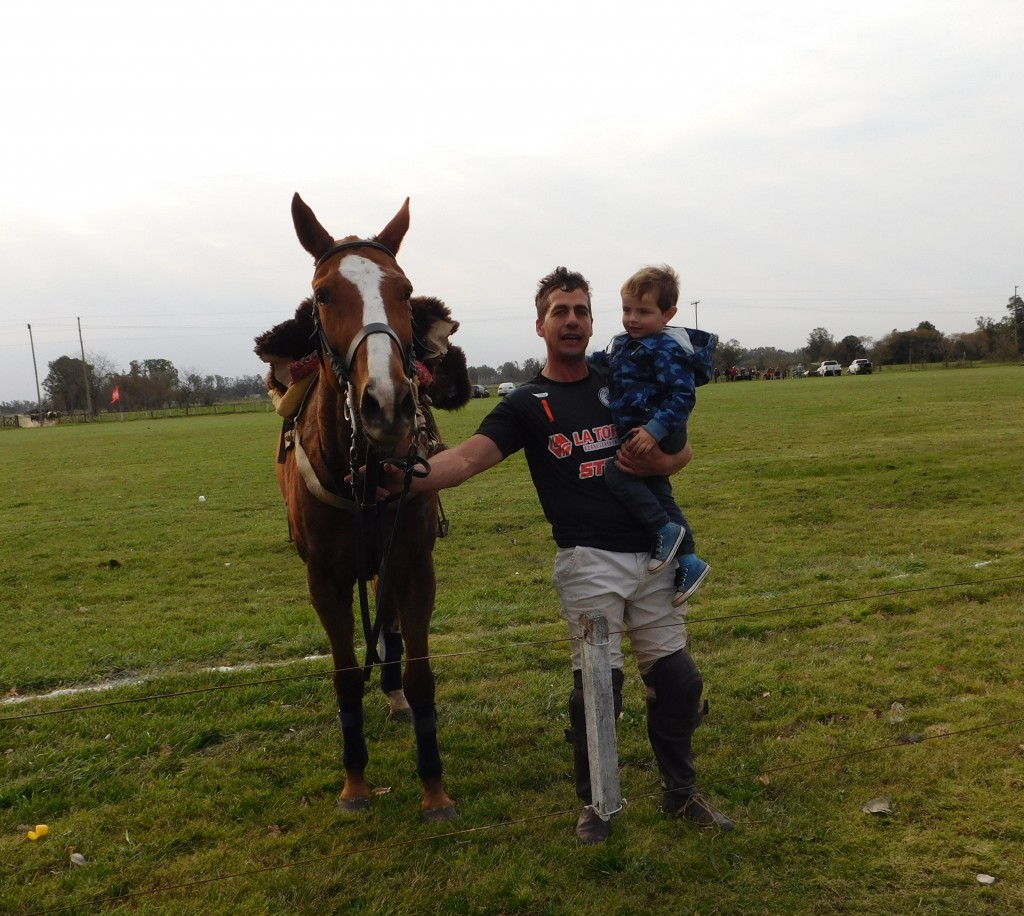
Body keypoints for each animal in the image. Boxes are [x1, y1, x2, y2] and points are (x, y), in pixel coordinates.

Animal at [253, 195, 468, 822]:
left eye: (405, 289)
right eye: (324, 295)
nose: (387, 405)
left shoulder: (414, 563)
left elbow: (421, 675)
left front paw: (434, 789)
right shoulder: (323, 577)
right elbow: (346, 676)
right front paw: (355, 783)